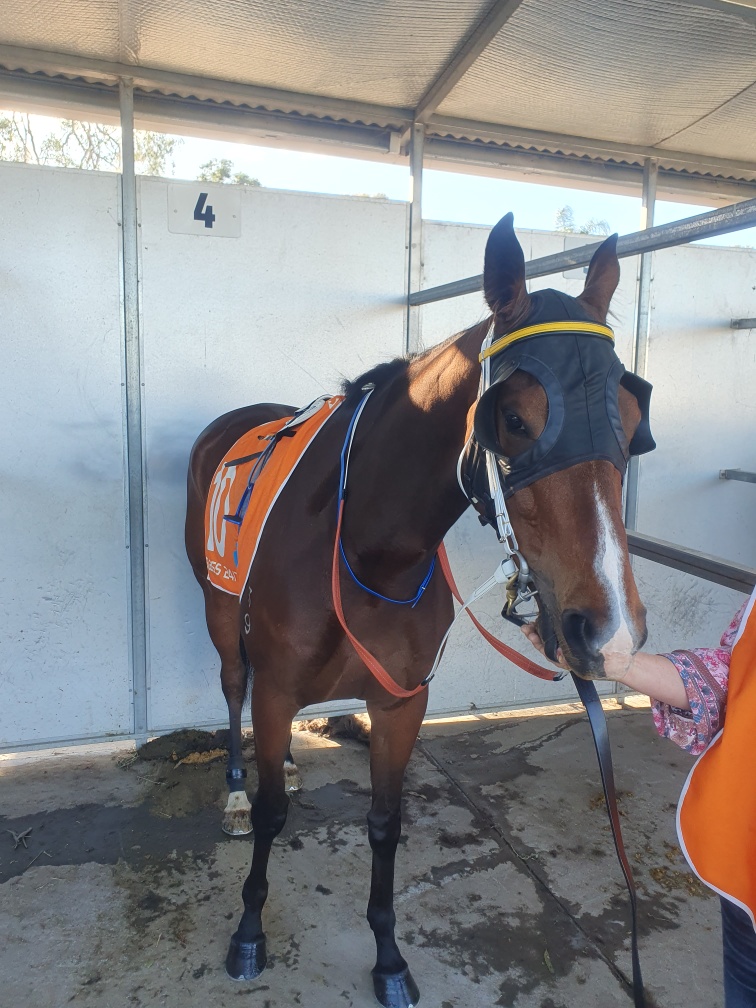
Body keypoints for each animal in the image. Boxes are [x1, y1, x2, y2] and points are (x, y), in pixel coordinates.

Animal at [185, 214, 653, 1008]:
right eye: (515, 419)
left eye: (628, 417)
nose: (609, 628)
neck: (365, 549)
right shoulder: (277, 687)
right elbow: (275, 814)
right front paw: (248, 931)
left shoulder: (402, 699)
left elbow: (385, 822)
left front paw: (388, 956)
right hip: (221, 616)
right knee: (231, 688)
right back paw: (238, 794)